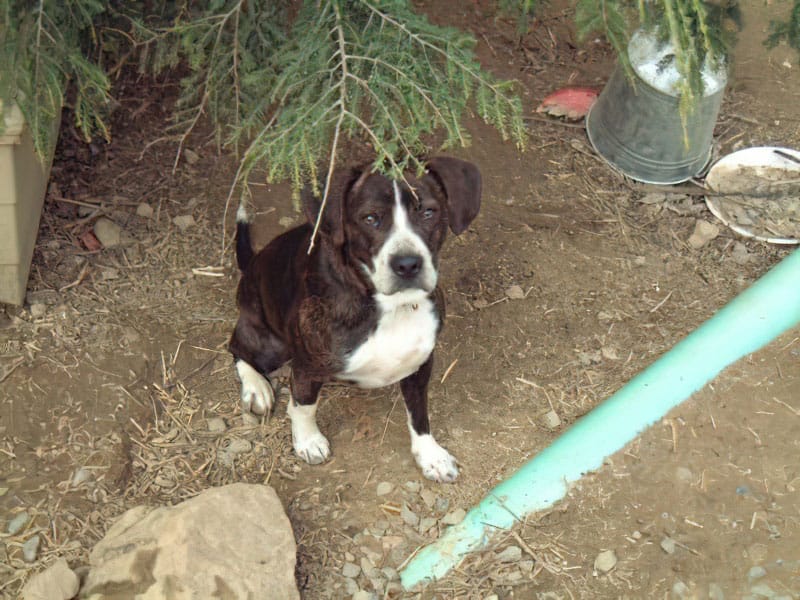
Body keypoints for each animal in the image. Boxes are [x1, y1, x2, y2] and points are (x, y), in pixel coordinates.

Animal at [230, 156, 482, 482]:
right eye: (370, 218)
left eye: (428, 212)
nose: (407, 264)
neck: (390, 306)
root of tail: (252, 263)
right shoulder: (307, 368)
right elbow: (304, 407)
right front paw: (308, 440)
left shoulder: (420, 364)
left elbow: (419, 414)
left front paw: (430, 455)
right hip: (272, 344)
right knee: (237, 346)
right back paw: (256, 387)